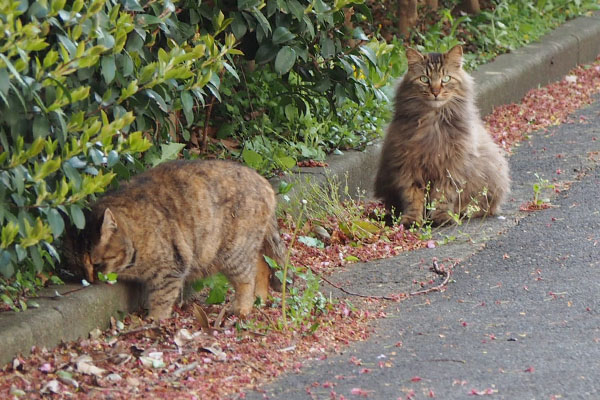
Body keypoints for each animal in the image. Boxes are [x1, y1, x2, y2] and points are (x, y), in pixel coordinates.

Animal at [62, 160, 284, 322]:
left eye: (97, 263)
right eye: (79, 268)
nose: (91, 280)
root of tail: (263, 182)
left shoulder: (171, 267)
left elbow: (162, 296)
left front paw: (154, 319)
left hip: (233, 253)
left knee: (246, 278)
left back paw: (242, 307)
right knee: (262, 265)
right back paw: (259, 298)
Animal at [372, 45, 508, 227]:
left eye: (446, 78)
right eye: (424, 79)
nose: (435, 92)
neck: (433, 122)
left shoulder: (451, 167)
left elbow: (442, 196)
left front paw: (441, 217)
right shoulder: (408, 167)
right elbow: (413, 197)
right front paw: (412, 219)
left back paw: (463, 212)